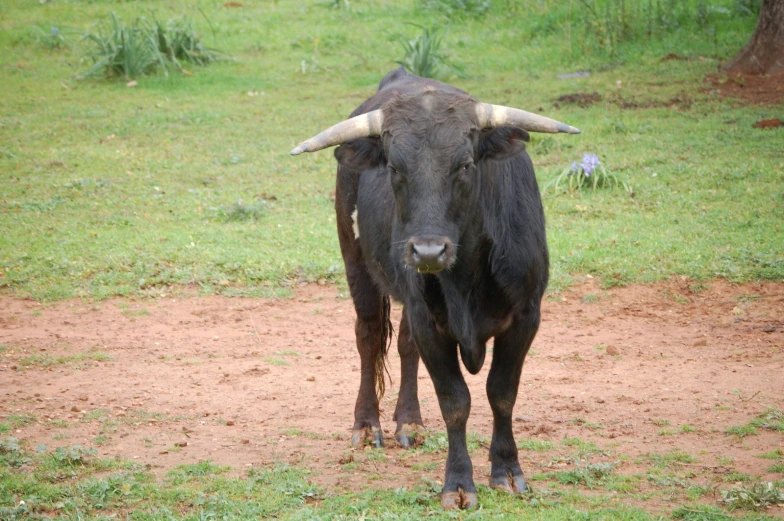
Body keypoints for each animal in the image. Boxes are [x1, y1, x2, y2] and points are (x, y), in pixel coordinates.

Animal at [290, 68, 580, 508]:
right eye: (394, 167)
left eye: (465, 164)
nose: (428, 250)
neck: (469, 274)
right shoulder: (431, 323)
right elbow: (455, 402)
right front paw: (458, 484)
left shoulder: (525, 317)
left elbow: (502, 393)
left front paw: (507, 471)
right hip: (356, 265)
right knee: (368, 336)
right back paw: (367, 425)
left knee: (404, 343)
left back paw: (409, 422)